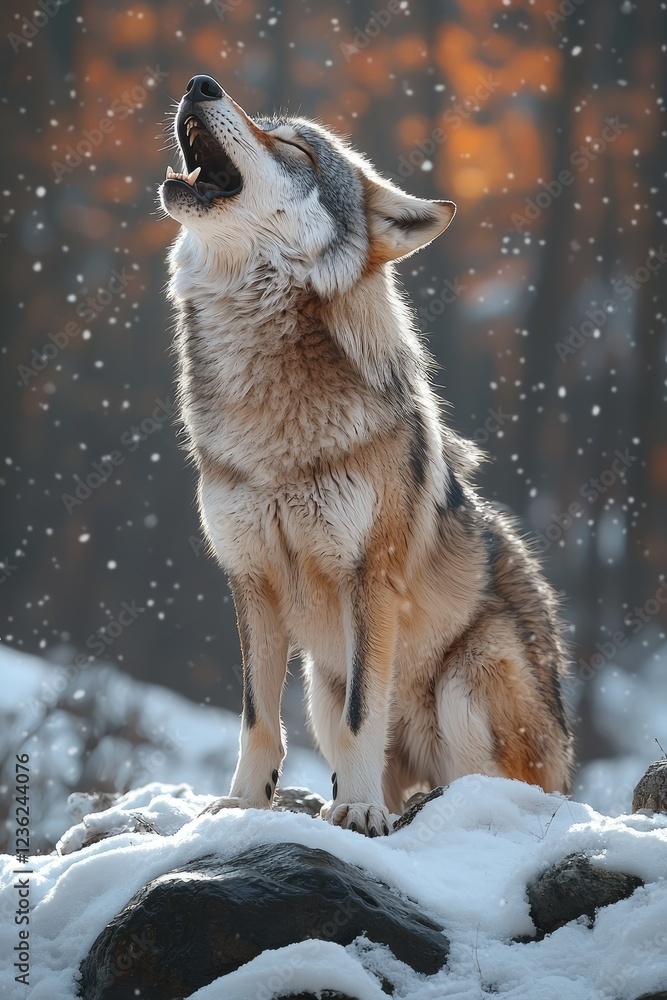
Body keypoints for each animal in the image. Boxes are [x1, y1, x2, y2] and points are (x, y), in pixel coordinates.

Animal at [160, 75, 574, 836]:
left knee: (501, 791)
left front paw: (355, 810)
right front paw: (242, 805)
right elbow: (256, 719)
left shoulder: (367, 579)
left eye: (292, 147)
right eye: (265, 125)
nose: (200, 84)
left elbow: (363, 718)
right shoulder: (249, 578)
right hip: (319, 686)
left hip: (471, 677)